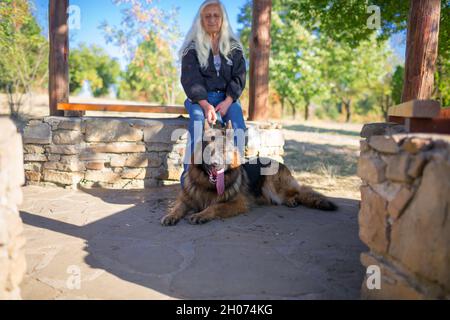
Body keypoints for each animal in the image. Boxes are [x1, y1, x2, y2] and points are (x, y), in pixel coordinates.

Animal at [160, 120, 336, 225]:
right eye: (209, 151)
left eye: (224, 151)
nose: (216, 165)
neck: (207, 186)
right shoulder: (185, 199)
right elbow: (177, 207)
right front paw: (171, 215)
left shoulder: (238, 203)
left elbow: (215, 207)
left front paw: (201, 215)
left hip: (272, 182)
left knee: (298, 192)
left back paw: (291, 200)